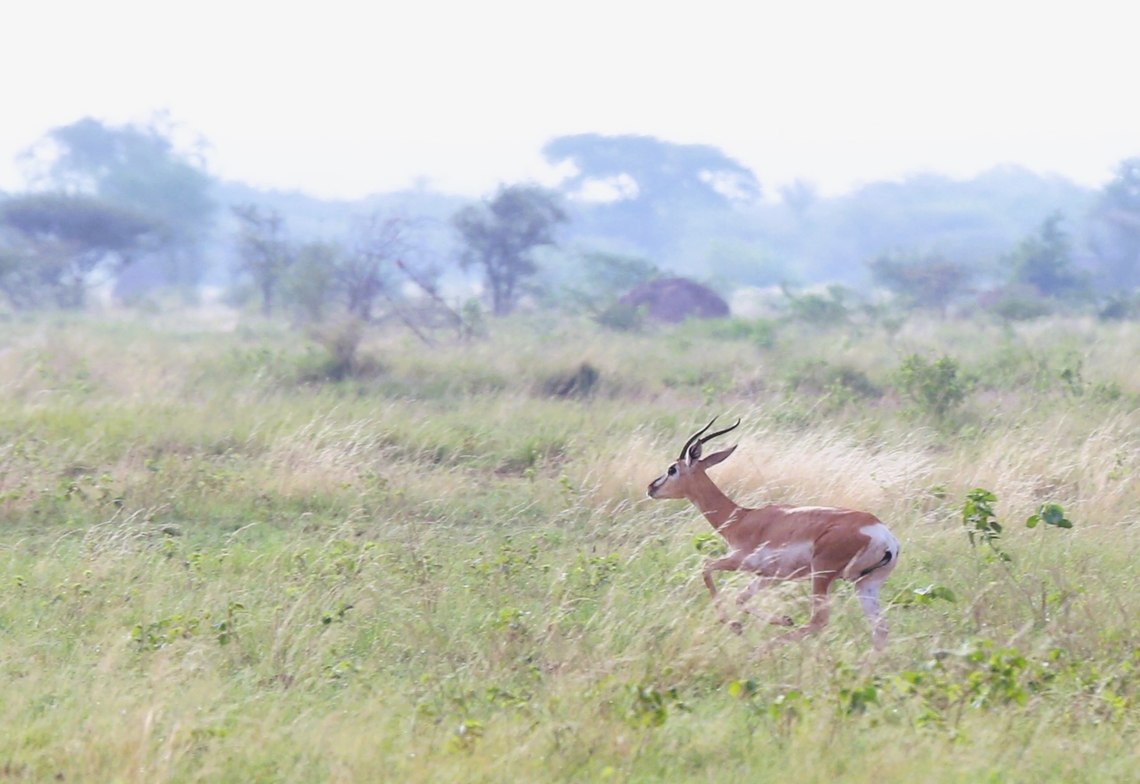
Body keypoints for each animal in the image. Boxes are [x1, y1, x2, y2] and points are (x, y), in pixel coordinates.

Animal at [646, 418, 900, 649]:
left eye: (672, 469)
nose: (651, 488)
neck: (742, 519)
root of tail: (883, 535)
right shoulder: (769, 576)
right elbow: (740, 598)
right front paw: (780, 620)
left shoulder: (739, 561)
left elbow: (706, 567)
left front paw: (737, 626)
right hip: (866, 584)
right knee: (881, 628)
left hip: (822, 575)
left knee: (819, 620)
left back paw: (761, 650)